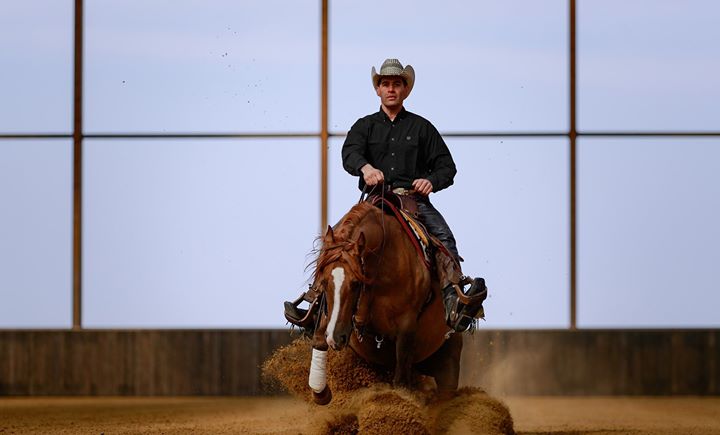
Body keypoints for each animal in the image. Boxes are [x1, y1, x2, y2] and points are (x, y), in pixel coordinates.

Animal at [306, 201, 466, 406]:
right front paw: (320, 392)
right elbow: (319, 338)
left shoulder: (406, 328)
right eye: (324, 282)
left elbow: (400, 382)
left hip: (448, 363)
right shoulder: (331, 317)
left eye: (356, 283)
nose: (336, 338)